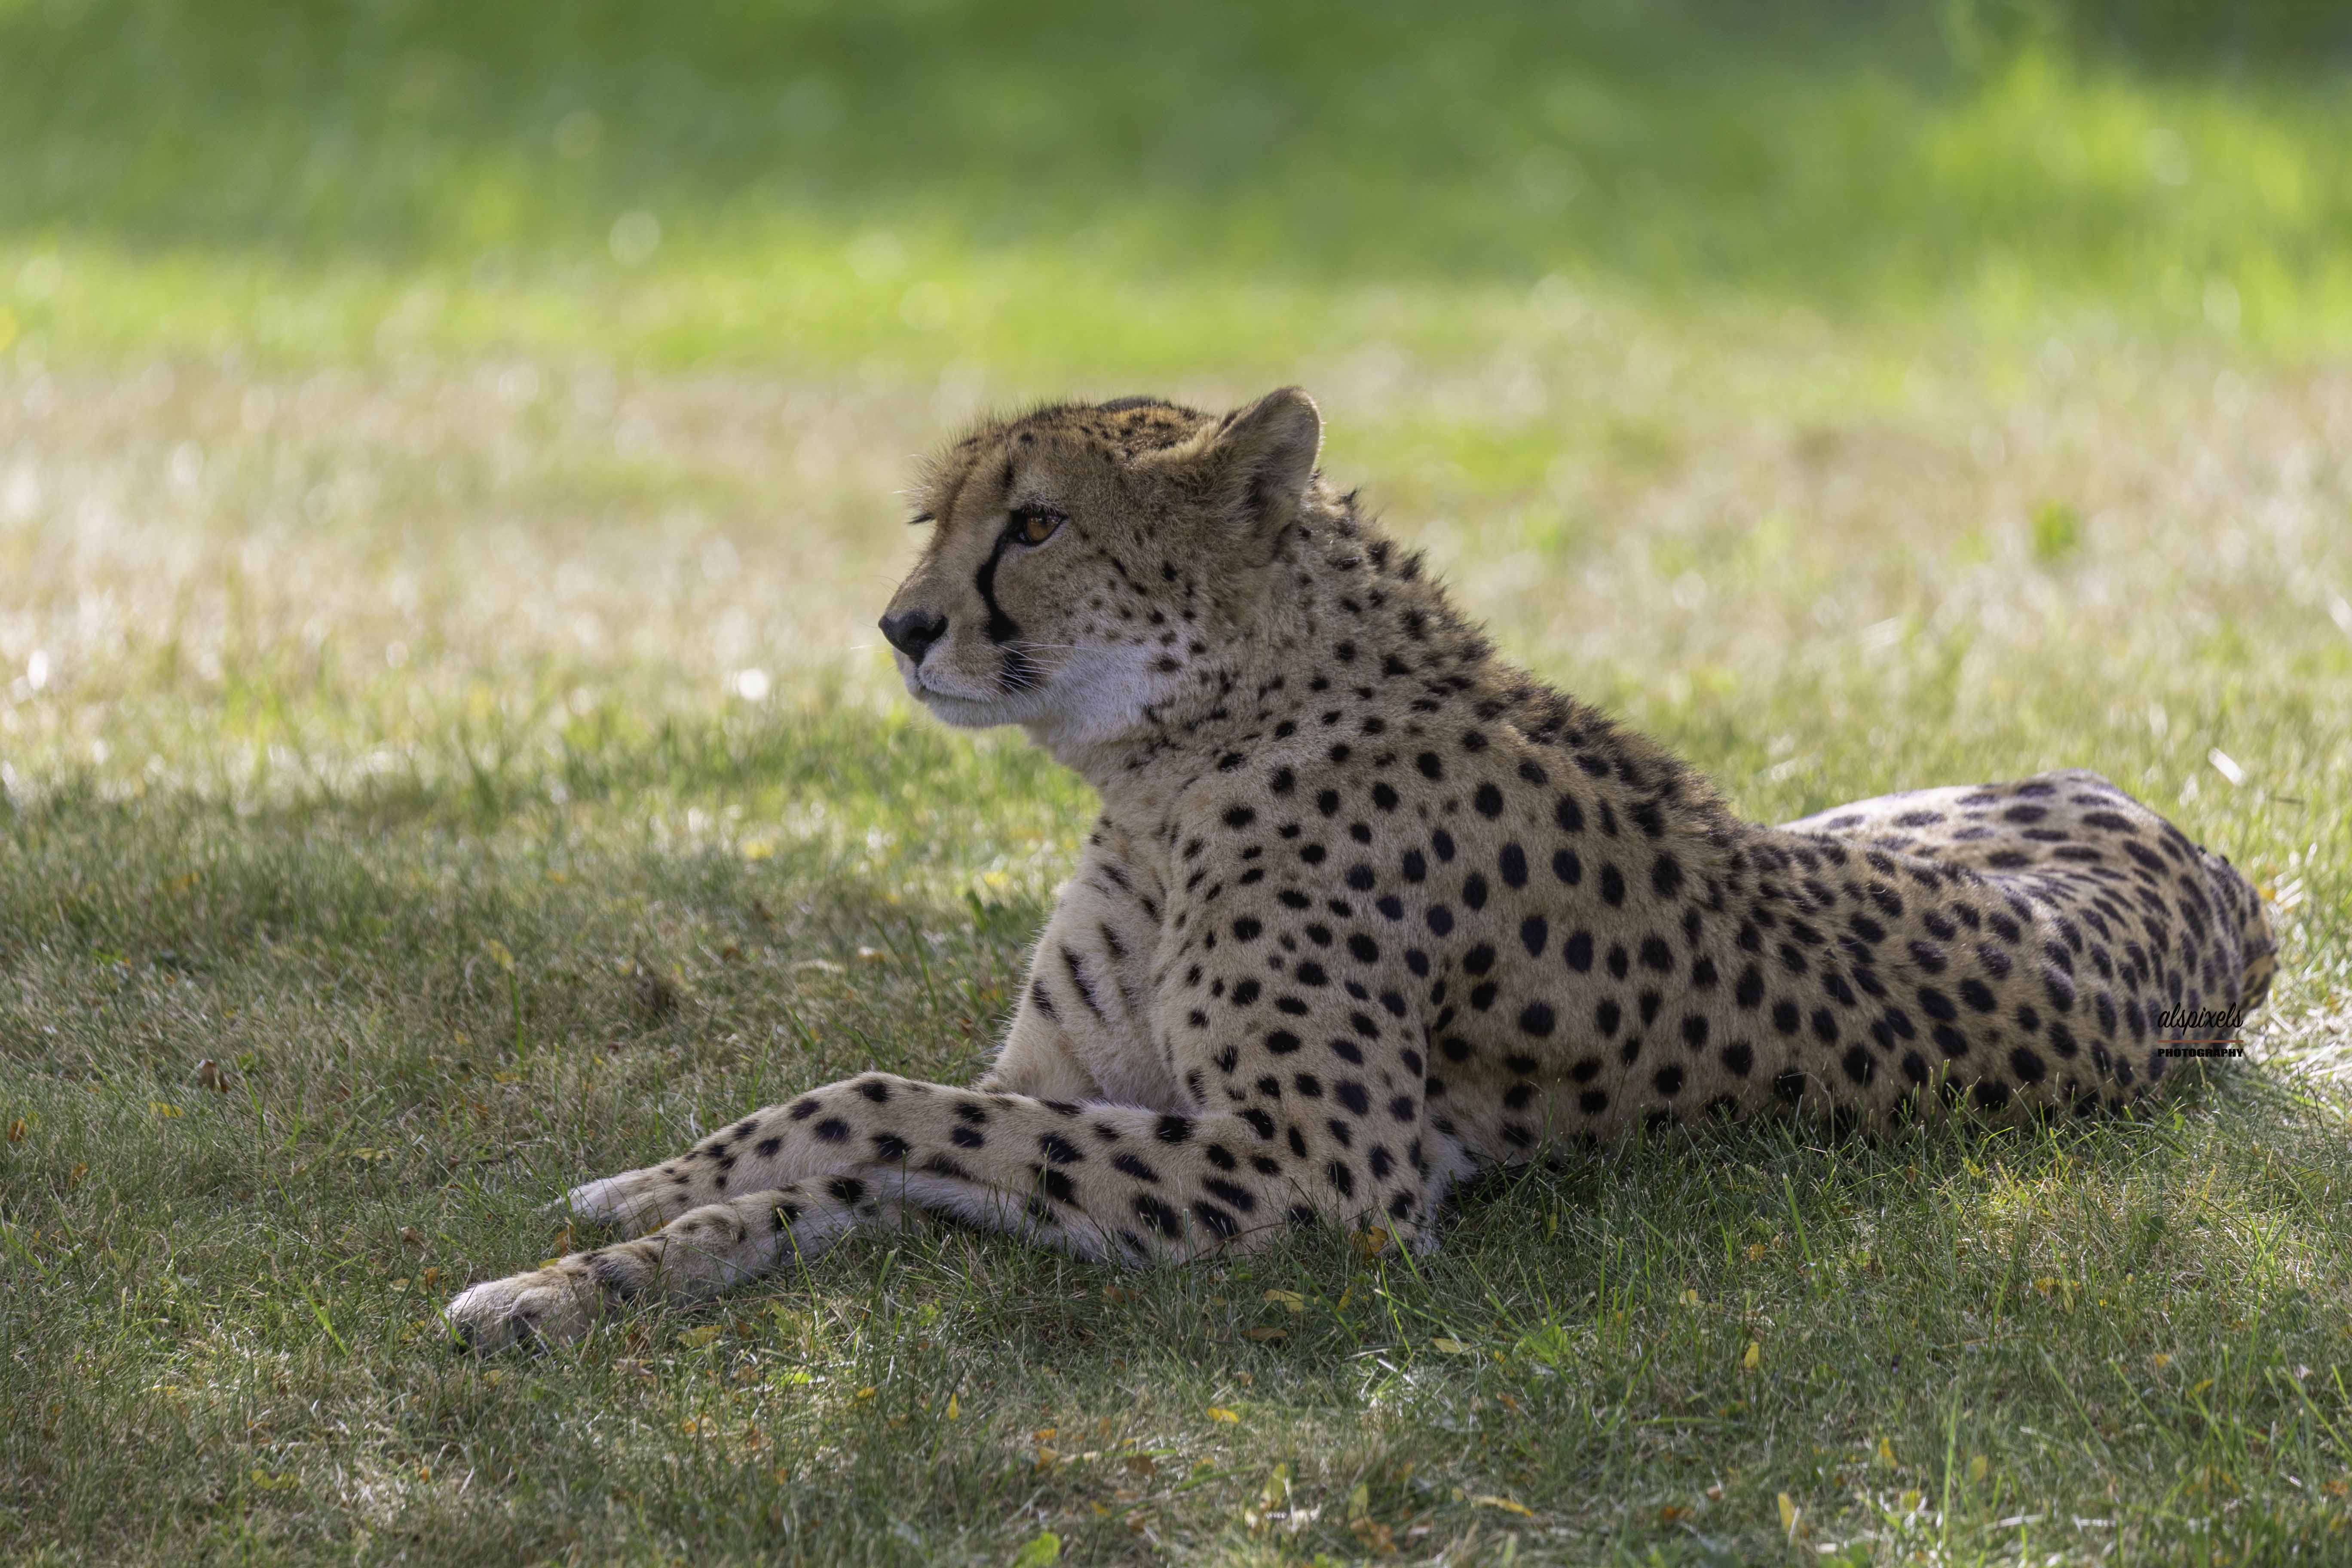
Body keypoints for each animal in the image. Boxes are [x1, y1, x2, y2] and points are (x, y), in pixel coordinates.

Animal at [444, 390, 2276, 1354]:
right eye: (935, 517)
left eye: (1035, 523)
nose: (899, 626)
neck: (1178, 762)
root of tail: (2219, 867)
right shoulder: (1065, 1092)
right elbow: (845, 1149)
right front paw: (594, 1255)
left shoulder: (1329, 1179)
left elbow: (875, 1102)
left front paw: (628, 1210)